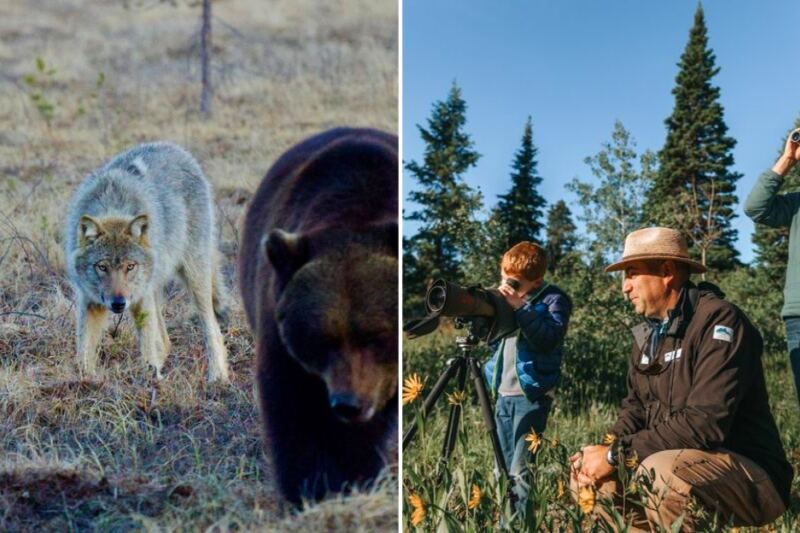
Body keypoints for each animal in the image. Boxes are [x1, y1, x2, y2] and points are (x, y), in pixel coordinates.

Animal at [65, 142, 229, 382]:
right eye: (102, 267)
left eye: (130, 266)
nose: (118, 303)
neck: (113, 205)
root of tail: (175, 147)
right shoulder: (90, 301)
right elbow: (83, 353)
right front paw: (85, 380)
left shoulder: (140, 300)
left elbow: (147, 348)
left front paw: (148, 379)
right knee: (165, 341)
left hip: (193, 277)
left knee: (211, 327)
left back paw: (218, 377)